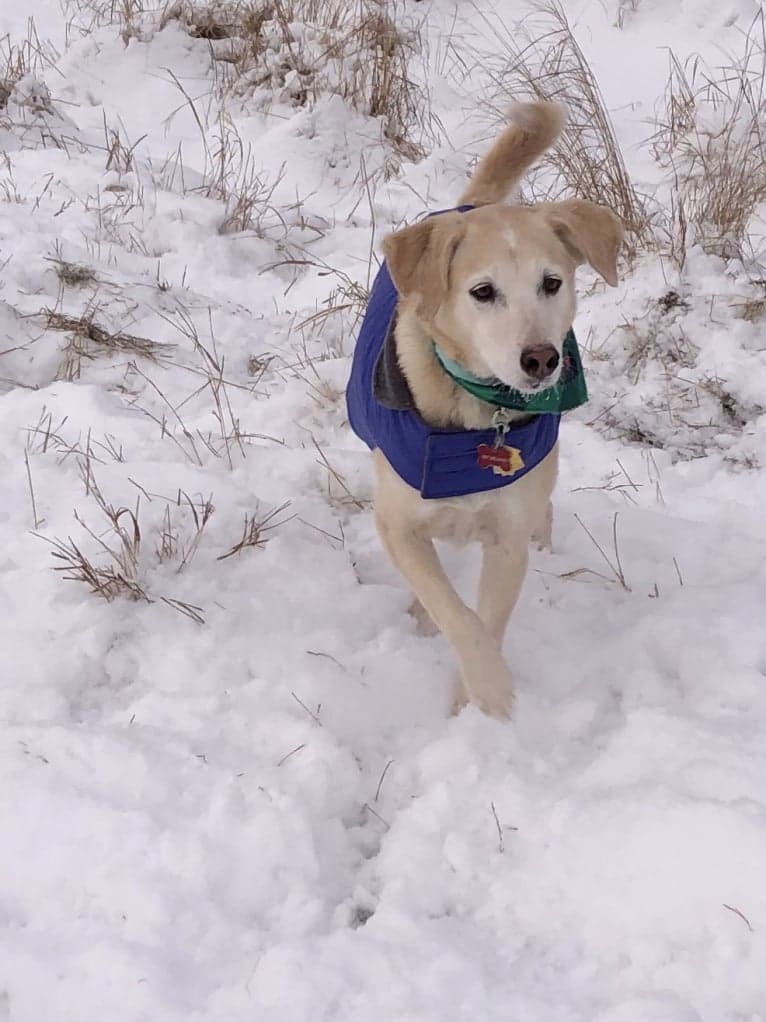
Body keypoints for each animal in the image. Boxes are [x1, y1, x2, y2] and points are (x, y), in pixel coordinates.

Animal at [347, 99, 625, 715]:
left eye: (552, 283)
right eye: (482, 292)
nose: (541, 359)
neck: (479, 415)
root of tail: (474, 204)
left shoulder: (506, 540)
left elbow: (487, 621)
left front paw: (477, 710)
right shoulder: (397, 524)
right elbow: (458, 616)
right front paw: (491, 695)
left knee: (543, 511)